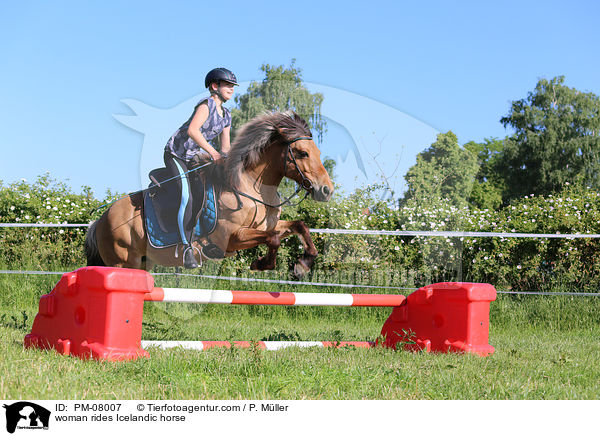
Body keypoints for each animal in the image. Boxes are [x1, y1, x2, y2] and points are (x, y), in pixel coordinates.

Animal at [84, 111, 336, 276]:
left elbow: (299, 226)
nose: (326, 190)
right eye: (302, 153)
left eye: (317, 152)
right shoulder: (233, 238)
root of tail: (100, 220)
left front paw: (303, 264)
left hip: (143, 262)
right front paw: (262, 264)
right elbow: (273, 239)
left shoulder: (267, 226)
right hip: (122, 262)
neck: (250, 187)